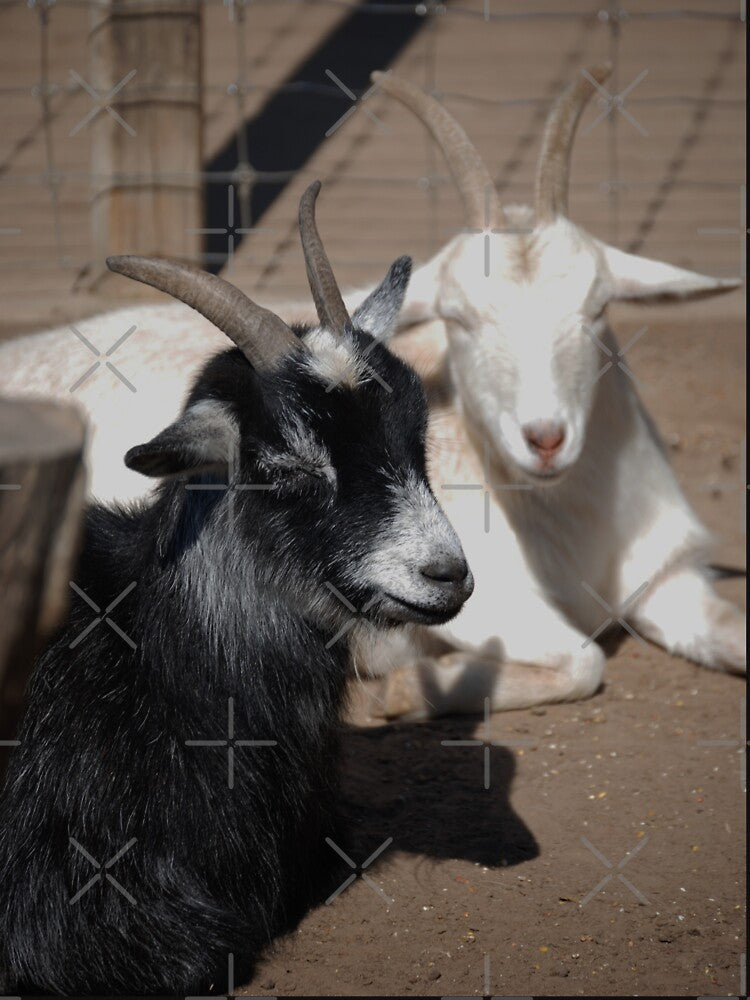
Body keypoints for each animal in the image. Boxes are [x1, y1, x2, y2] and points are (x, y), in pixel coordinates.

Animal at [358, 66, 745, 719]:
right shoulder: (463, 586)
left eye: (598, 306)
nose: (544, 439)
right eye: (456, 316)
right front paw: (407, 686)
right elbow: (582, 661)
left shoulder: (668, 579)